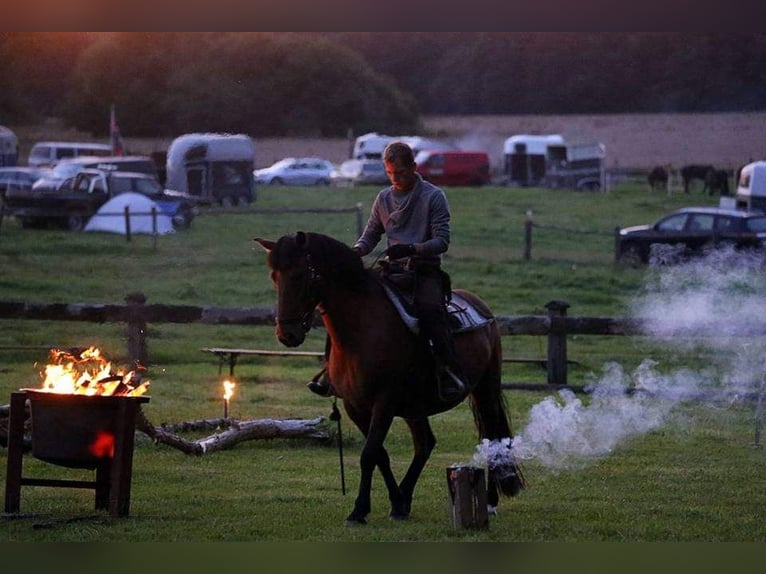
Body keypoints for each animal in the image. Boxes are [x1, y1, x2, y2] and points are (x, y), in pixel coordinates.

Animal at [255, 233, 524, 528]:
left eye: (300, 274)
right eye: (274, 276)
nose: (287, 334)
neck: (360, 331)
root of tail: (482, 308)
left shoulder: (384, 403)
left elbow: (369, 453)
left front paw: (359, 510)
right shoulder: (355, 406)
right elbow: (379, 454)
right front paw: (396, 504)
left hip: (485, 389)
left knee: (493, 436)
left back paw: (489, 502)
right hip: (416, 407)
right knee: (425, 444)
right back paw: (406, 496)